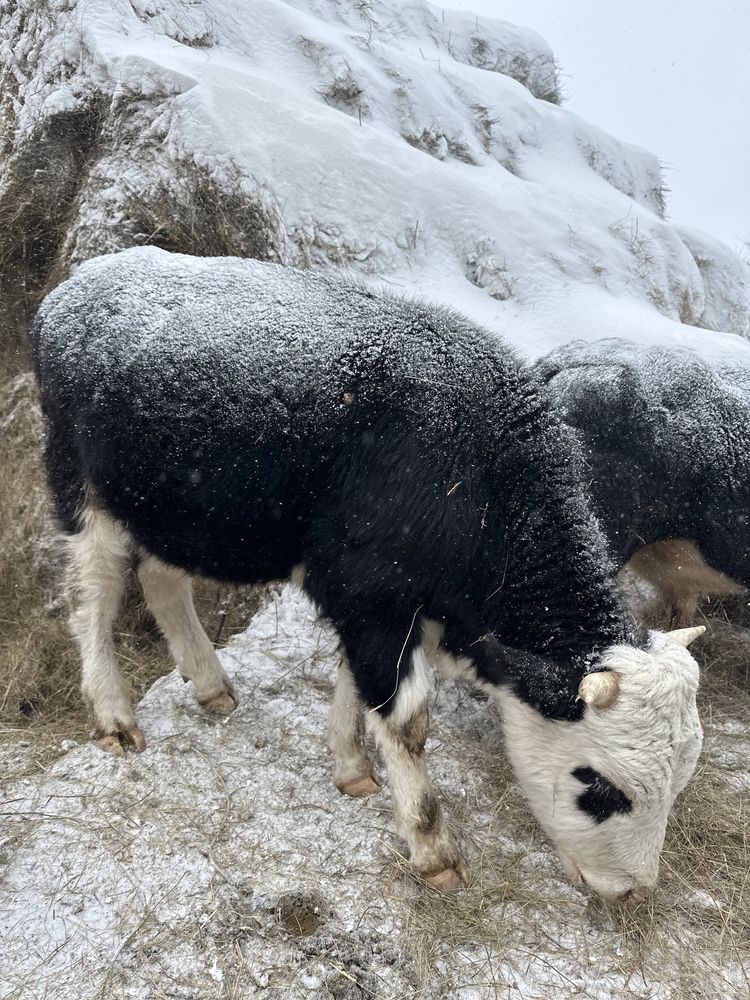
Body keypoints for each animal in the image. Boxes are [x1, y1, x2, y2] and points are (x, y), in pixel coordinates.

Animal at [33, 248, 704, 900]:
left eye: (680, 780)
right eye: (602, 786)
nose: (633, 892)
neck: (476, 472)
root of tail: (81, 281)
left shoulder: (380, 601)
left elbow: (357, 684)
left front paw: (352, 768)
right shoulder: (373, 593)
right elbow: (405, 720)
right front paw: (433, 850)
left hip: (174, 512)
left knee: (162, 580)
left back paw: (211, 683)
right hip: (83, 494)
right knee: (92, 598)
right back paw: (115, 719)